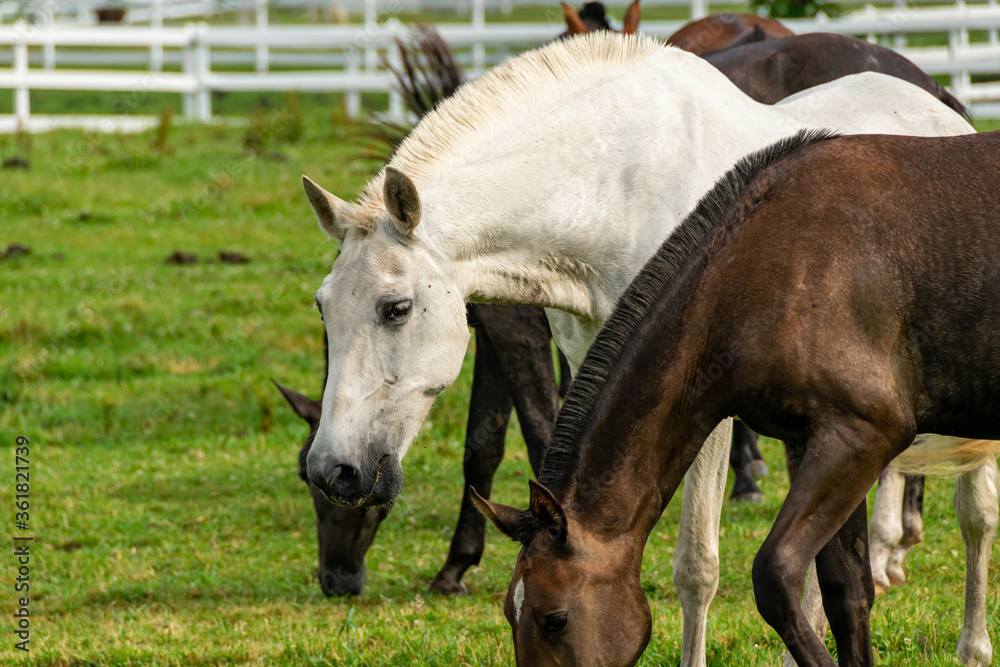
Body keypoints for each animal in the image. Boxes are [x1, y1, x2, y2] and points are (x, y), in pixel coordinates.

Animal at [475, 129, 1000, 667]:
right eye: (510, 614)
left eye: (554, 618)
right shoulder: (817, 442)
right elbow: (847, 592)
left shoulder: (863, 435)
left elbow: (776, 574)